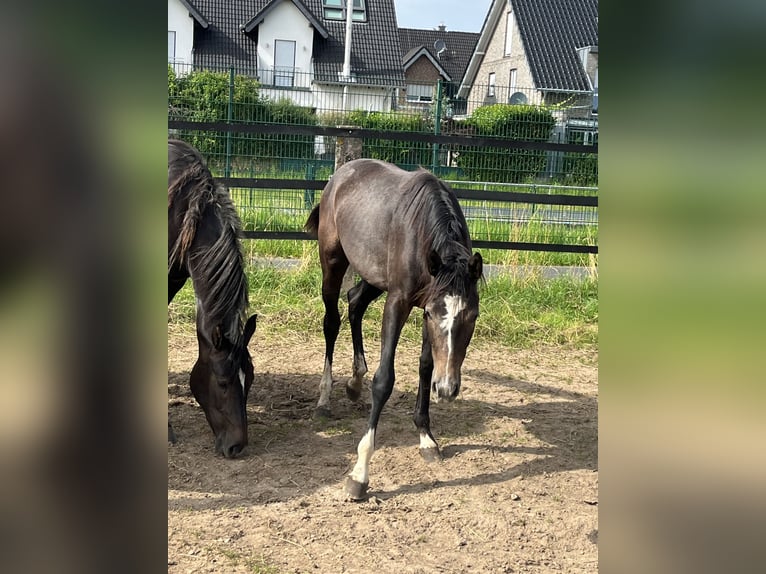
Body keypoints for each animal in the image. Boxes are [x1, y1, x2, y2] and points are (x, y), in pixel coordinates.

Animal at [304, 158, 480, 500]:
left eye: (473, 317)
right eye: (433, 314)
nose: (447, 389)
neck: (423, 232)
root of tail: (341, 175)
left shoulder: (423, 301)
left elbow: (426, 366)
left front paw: (426, 437)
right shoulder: (400, 302)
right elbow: (384, 379)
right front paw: (359, 474)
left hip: (373, 275)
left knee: (355, 302)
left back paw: (355, 382)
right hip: (333, 263)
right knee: (332, 321)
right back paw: (325, 398)